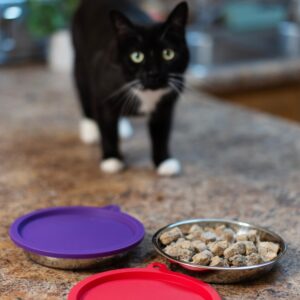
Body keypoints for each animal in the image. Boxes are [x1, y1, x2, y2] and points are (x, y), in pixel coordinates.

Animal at [72, 0, 189, 176]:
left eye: (168, 54)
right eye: (137, 56)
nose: (153, 73)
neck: (147, 92)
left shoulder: (165, 105)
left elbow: (161, 133)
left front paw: (164, 161)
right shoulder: (103, 92)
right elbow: (107, 128)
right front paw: (111, 159)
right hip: (80, 59)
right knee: (84, 91)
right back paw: (90, 127)